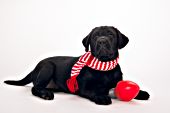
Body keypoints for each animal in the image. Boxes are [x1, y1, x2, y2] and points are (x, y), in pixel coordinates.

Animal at [4, 26, 149, 105]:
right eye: (95, 36)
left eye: (110, 34)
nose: (102, 41)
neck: (103, 65)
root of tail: (35, 67)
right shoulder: (84, 87)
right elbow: (94, 91)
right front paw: (101, 96)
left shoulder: (117, 82)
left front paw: (142, 93)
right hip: (48, 66)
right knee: (35, 87)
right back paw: (45, 94)